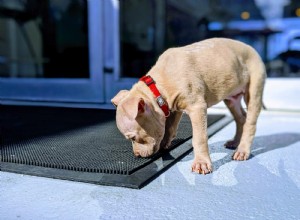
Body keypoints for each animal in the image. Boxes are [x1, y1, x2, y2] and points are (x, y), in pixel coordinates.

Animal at [112, 38, 264, 175]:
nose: (137, 155)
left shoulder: (197, 107)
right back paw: (235, 142)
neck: (158, 87)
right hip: (232, 98)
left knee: (250, 122)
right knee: (241, 118)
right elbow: (169, 127)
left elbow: (199, 138)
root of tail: (252, 49)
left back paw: (242, 150)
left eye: (132, 138)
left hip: (254, 89)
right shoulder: (173, 106)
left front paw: (201, 163)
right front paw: (165, 144)